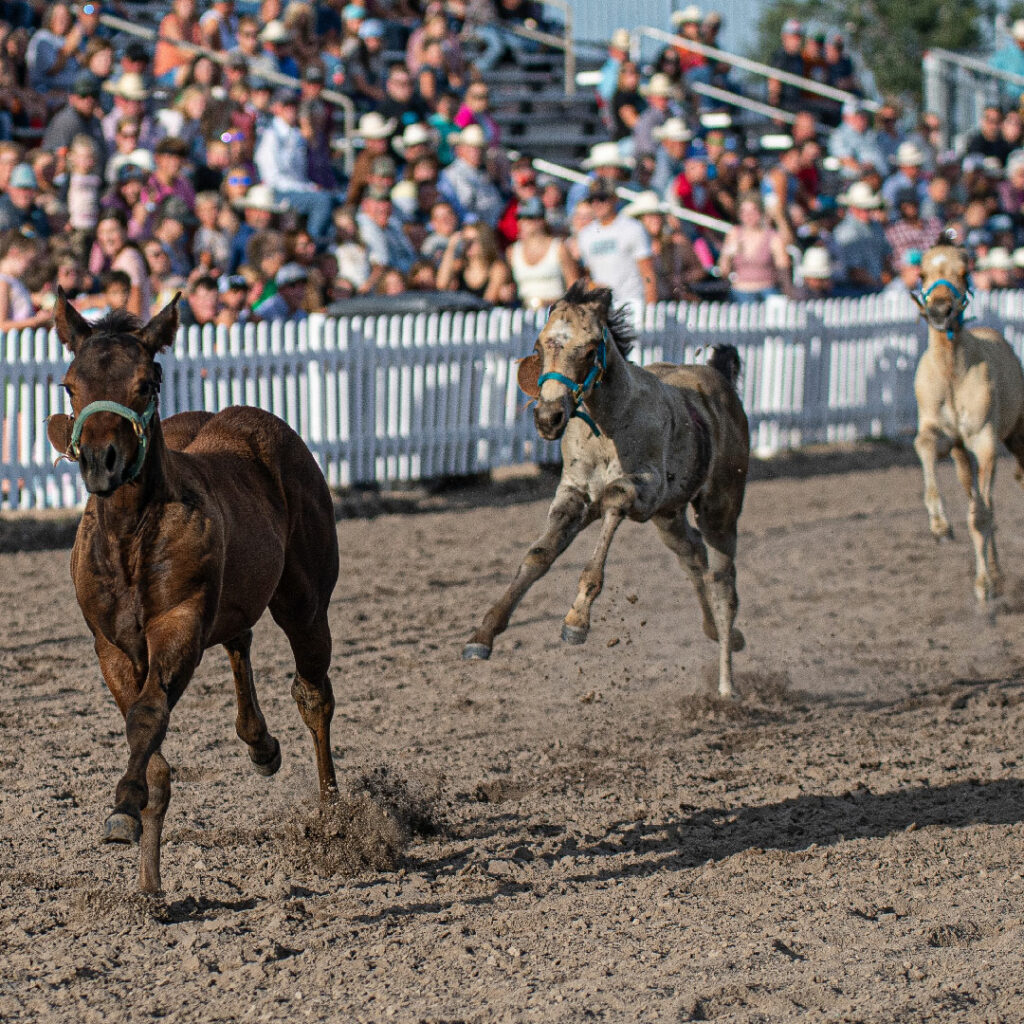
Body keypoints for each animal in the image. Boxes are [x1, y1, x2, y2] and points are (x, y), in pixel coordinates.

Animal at [46, 292, 339, 892]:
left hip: (305, 600)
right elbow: (148, 737)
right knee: (239, 639)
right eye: (69, 384)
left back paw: (333, 815)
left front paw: (123, 807)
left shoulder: (178, 623)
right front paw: (147, 882)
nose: (101, 462)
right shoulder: (112, 646)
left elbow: (148, 717)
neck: (131, 538)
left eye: (146, 381)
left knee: (313, 691)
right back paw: (260, 745)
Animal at [468, 280, 749, 700]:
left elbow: (612, 510)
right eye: (540, 345)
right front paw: (483, 634)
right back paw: (716, 631)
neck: (609, 424)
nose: (548, 417)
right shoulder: (574, 496)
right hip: (669, 516)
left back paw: (728, 684)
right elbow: (538, 556)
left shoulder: (641, 491)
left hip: (720, 507)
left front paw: (576, 621)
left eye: (588, 349)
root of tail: (717, 378)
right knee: (693, 554)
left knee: (723, 584)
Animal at [917, 237, 1024, 606]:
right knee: (977, 496)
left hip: (1016, 435)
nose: (939, 311)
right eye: (922, 273)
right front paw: (939, 525)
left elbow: (981, 516)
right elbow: (923, 446)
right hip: (962, 456)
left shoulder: (984, 440)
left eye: (964, 272)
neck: (952, 372)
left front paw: (983, 586)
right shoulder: (941, 434)